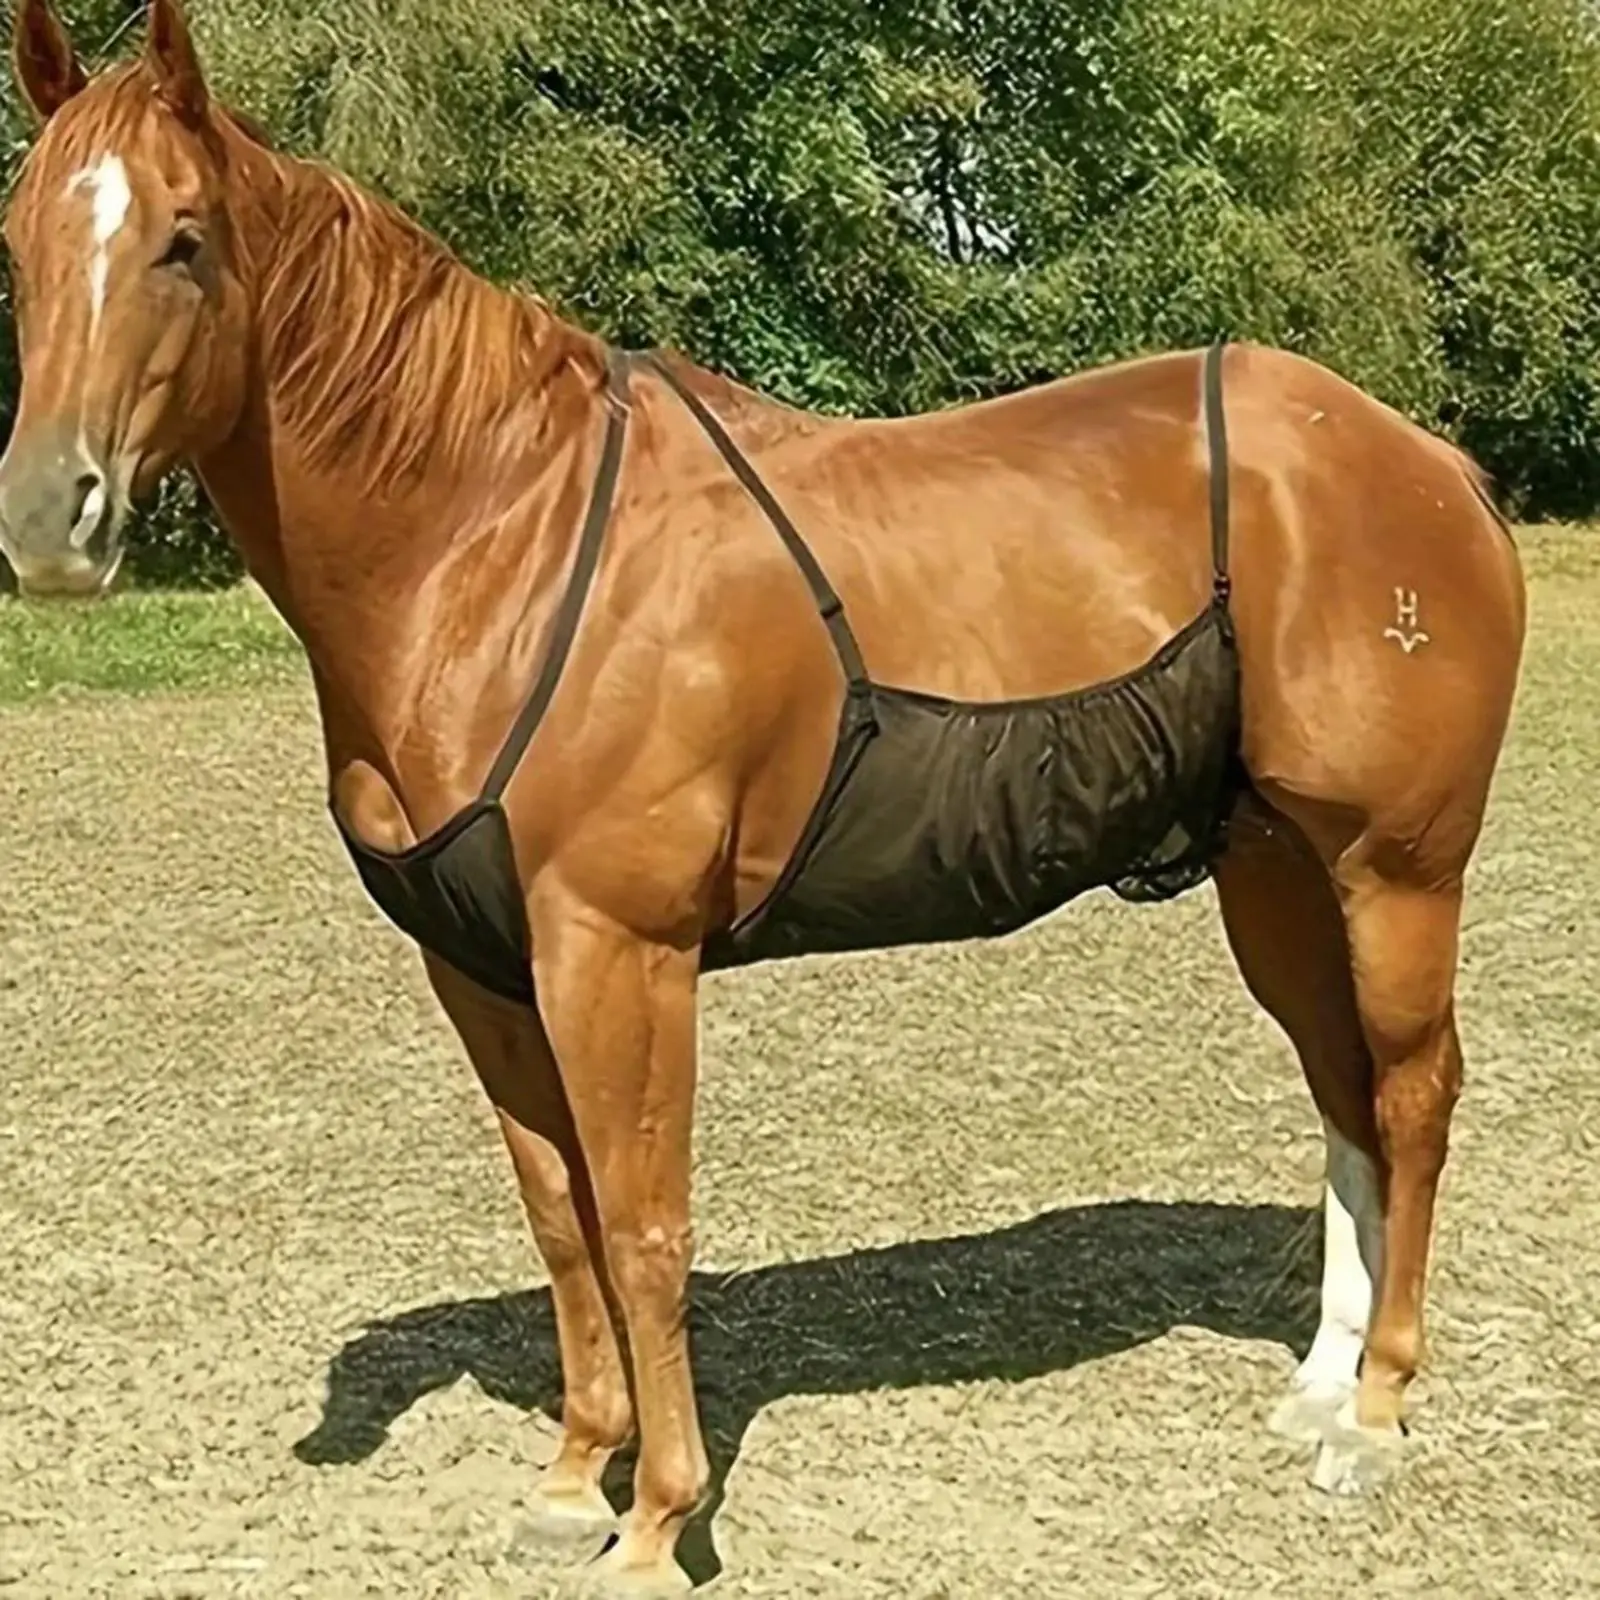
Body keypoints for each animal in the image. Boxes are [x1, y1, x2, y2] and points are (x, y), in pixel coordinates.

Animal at [1, 2, 1527, 1593]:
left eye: (183, 239)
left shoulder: (619, 955)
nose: (53, 518)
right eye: (19, 241)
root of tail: (1428, 463)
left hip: (1395, 872)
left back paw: (1379, 1409)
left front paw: (659, 1519)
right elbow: (562, 1222)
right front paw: (573, 1478)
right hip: (1275, 874)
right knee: (1343, 1094)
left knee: (1414, 1097)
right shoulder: (479, 968)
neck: (497, 540)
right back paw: (1323, 1383)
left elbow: (645, 1226)